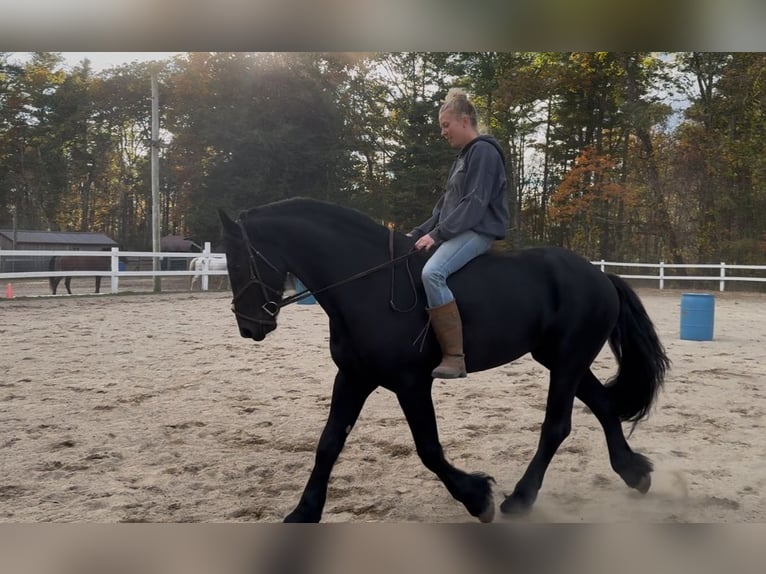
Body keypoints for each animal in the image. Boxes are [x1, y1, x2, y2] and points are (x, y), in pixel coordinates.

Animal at [218, 198, 670, 523]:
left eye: (238, 260)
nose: (249, 327)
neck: (367, 284)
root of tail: (599, 275)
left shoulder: (411, 383)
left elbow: (429, 449)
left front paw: (477, 498)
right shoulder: (353, 377)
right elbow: (328, 443)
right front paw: (303, 512)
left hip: (568, 361)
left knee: (557, 427)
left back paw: (520, 499)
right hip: (562, 359)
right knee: (604, 406)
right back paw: (635, 473)